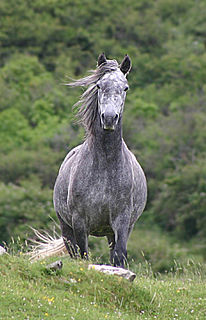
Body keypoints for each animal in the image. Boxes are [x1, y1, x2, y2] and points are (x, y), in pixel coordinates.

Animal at [52, 53, 147, 268]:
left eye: (125, 87)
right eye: (98, 86)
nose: (109, 118)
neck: (105, 166)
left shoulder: (122, 221)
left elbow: (119, 256)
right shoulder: (79, 222)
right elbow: (83, 254)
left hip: (114, 231)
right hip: (66, 227)